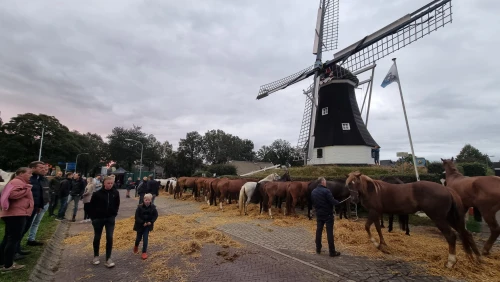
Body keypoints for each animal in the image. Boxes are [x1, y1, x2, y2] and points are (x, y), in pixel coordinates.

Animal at [346, 171, 482, 268]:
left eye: (356, 182)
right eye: (348, 184)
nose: (353, 200)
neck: (373, 190)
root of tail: (446, 189)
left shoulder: (374, 212)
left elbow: (367, 226)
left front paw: (376, 243)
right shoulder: (376, 213)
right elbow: (378, 228)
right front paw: (382, 244)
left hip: (439, 218)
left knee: (451, 236)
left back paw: (450, 262)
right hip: (450, 218)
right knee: (466, 234)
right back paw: (476, 259)